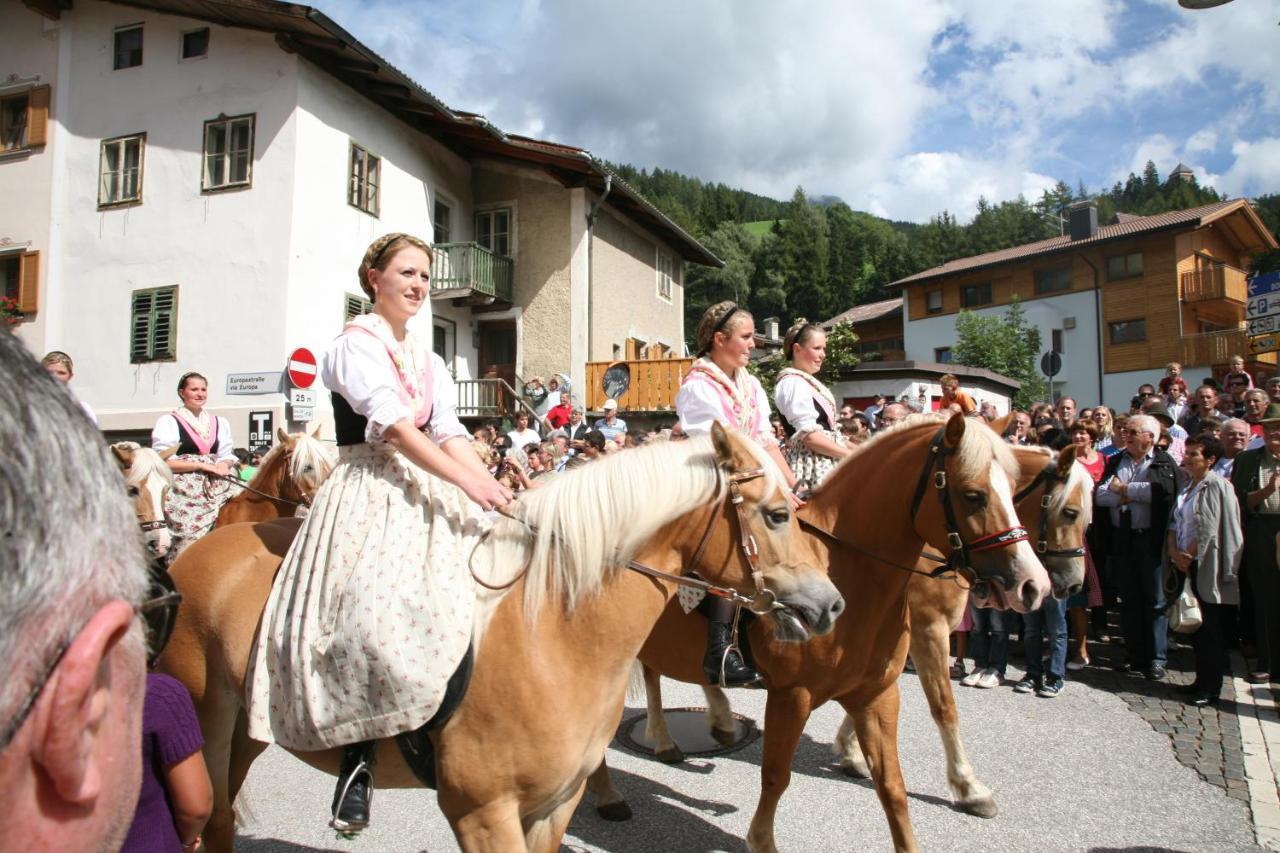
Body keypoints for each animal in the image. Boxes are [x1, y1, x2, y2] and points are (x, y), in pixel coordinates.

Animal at [157, 422, 849, 845]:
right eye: (778, 514)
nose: (832, 605)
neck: (551, 633)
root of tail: (190, 560)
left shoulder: (552, 805)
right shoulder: (481, 813)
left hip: (244, 737)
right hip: (208, 733)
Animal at [586, 409, 1054, 845]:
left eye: (1014, 490)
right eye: (973, 495)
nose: (1034, 585)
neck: (848, 570)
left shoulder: (878, 695)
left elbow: (894, 789)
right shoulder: (792, 695)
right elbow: (776, 776)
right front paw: (761, 838)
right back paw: (615, 788)